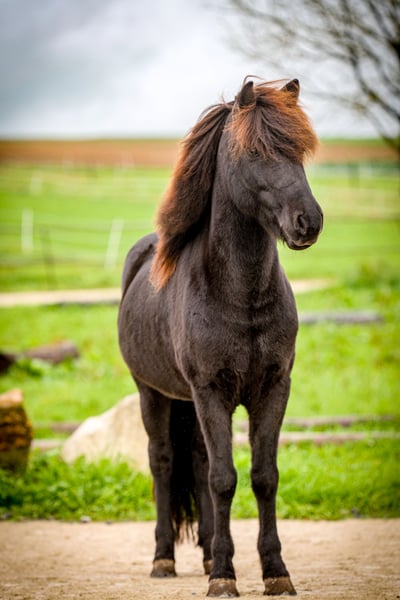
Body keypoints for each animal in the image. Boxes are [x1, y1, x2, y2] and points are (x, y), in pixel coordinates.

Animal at [118, 77, 323, 597]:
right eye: (254, 152)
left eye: (298, 151)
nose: (308, 221)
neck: (239, 296)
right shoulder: (210, 391)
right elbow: (224, 479)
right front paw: (224, 578)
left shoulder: (272, 389)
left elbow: (262, 476)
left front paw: (275, 571)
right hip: (153, 393)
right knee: (163, 462)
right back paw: (164, 559)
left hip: (187, 400)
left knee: (195, 461)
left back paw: (209, 551)